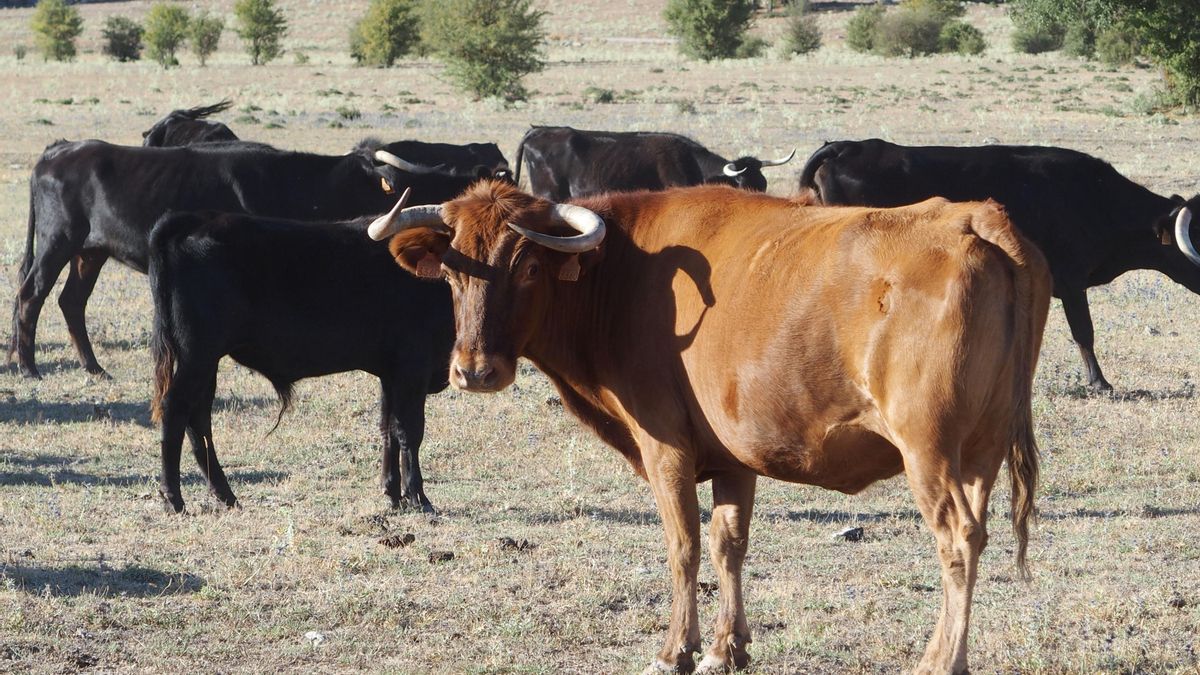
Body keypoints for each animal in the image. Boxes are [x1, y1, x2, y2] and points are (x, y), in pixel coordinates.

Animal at [8, 138, 482, 379]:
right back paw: (30, 368)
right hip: (58, 241)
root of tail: (58, 151)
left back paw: (93, 368)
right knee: (32, 295)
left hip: (90, 252)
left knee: (71, 301)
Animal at [148, 189, 452, 513]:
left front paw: (393, 494)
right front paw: (418, 497)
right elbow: (409, 429)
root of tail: (196, 219)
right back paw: (174, 498)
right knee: (175, 408)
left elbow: (388, 428)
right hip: (198, 354)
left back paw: (225, 495)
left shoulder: (390, 372)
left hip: (205, 360)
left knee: (199, 417)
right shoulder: (413, 366)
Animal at [366, 180, 1051, 673]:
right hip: (982, 451)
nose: (473, 370)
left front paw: (676, 650)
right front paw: (728, 647)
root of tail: (973, 218)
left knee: (957, 540)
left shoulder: (664, 445)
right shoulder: (734, 459)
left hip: (929, 451)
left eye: (529, 268)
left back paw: (940, 660)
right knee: (978, 534)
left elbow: (683, 545)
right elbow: (729, 545)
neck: (626, 272)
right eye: (452, 273)